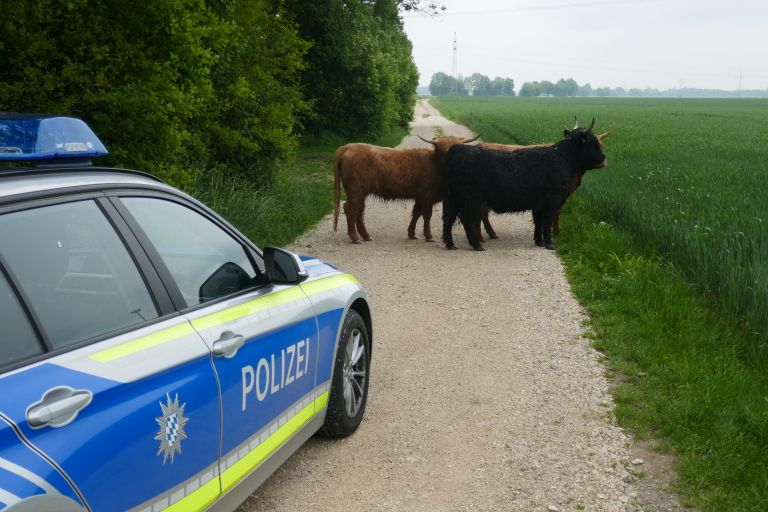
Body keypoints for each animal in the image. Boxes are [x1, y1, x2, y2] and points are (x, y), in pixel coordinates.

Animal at [333, 135, 479, 243]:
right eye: (442, 151)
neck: (436, 165)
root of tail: (347, 146)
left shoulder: (421, 196)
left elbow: (416, 213)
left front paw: (411, 233)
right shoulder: (427, 195)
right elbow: (427, 215)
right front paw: (428, 236)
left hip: (361, 191)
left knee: (358, 210)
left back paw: (365, 236)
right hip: (355, 189)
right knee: (351, 209)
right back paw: (355, 237)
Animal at [442, 118, 607, 251]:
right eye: (592, 142)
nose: (603, 158)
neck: (563, 157)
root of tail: (457, 149)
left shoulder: (539, 203)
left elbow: (539, 221)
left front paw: (539, 241)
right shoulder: (552, 200)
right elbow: (547, 221)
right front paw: (549, 243)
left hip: (453, 198)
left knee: (448, 218)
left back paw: (450, 244)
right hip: (470, 199)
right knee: (465, 218)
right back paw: (476, 245)